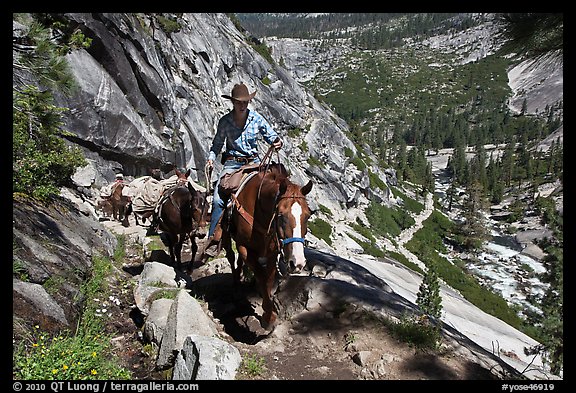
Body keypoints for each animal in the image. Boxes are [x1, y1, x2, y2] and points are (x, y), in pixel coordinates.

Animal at [220, 162, 312, 328]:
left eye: (308, 215)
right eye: (280, 215)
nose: (298, 263)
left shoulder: (272, 253)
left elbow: (268, 280)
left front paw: (268, 311)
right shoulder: (244, 248)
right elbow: (261, 276)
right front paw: (268, 316)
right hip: (225, 233)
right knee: (230, 256)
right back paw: (236, 285)